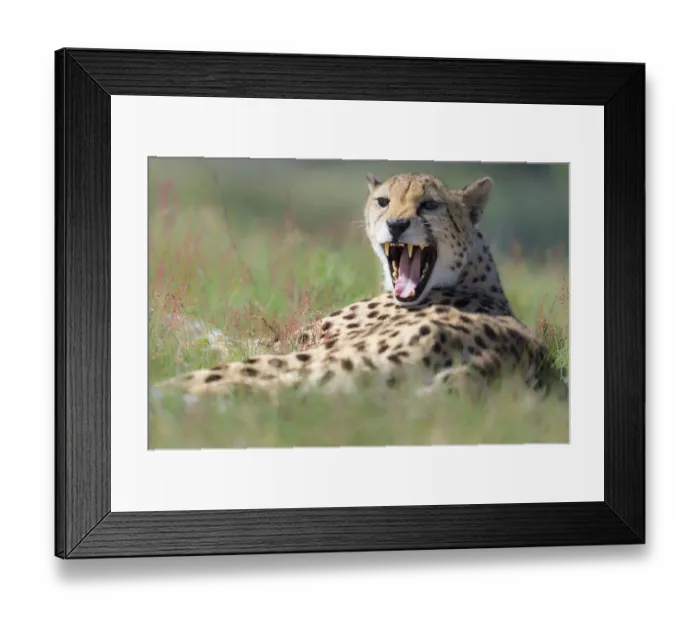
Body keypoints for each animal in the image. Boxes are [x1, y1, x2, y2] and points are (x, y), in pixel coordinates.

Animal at [152, 172, 551, 400]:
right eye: (383, 201)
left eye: (430, 205)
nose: (397, 225)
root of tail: (491, 364)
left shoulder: (290, 343)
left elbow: (216, 337)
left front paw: (165, 323)